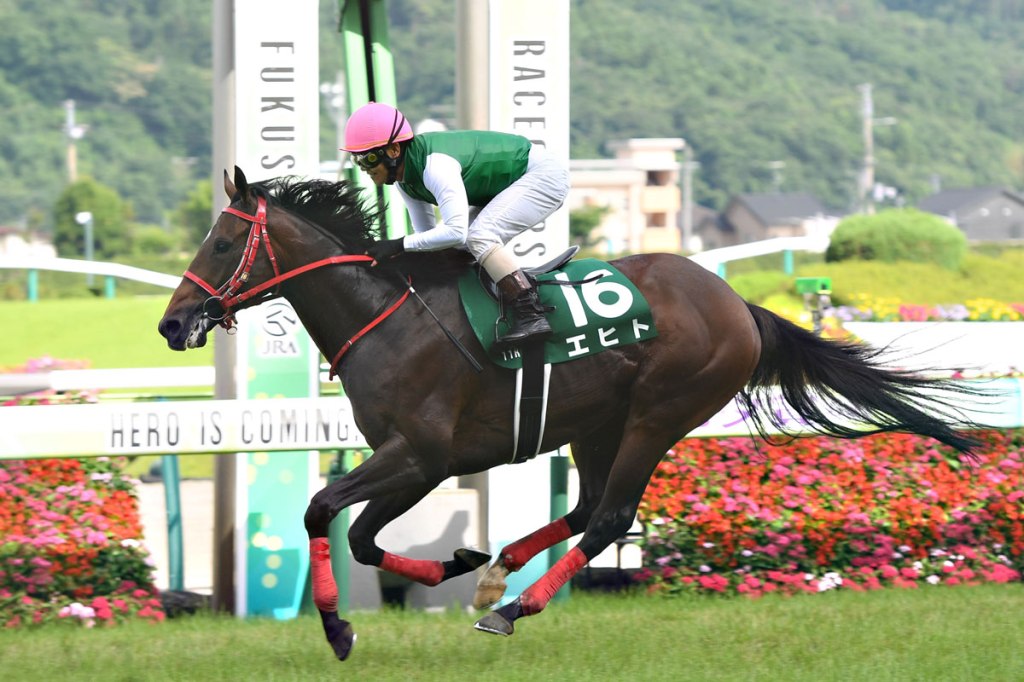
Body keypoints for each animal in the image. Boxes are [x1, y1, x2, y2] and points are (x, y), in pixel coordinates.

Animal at [158, 167, 981, 661]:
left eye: (223, 241)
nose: (172, 324)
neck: (387, 317)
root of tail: (736, 303)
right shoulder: (414, 460)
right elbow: (359, 537)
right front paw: (454, 563)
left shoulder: (422, 455)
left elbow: (324, 511)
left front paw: (337, 628)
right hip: (594, 424)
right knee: (586, 508)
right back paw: (499, 573)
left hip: (658, 414)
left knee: (610, 517)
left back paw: (513, 607)